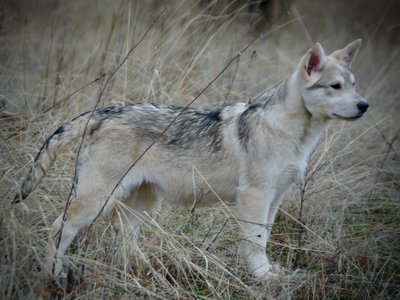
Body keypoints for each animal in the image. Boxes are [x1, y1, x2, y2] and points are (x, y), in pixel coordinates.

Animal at [15, 40, 368, 278]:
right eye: (335, 86)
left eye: (353, 85)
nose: (365, 105)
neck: (295, 135)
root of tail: (106, 111)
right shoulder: (254, 196)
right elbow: (254, 242)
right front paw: (263, 277)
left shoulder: (275, 197)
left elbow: (264, 238)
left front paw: (268, 273)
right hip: (97, 200)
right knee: (59, 228)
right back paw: (54, 274)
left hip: (140, 202)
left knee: (124, 238)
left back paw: (144, 268)